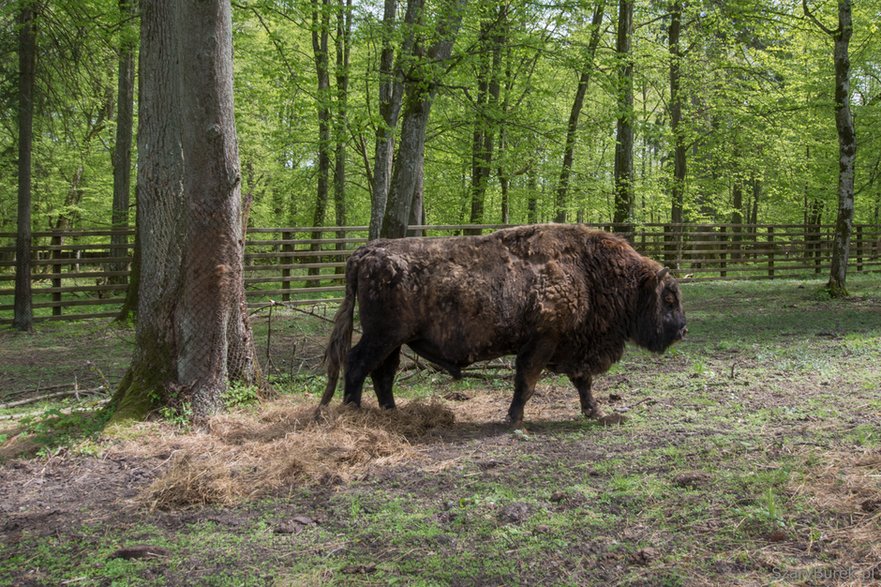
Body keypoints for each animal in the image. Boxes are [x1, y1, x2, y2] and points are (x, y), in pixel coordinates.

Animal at [320, 225, 684, 428]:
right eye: (668, 298)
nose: (682, 330)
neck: (588, 271)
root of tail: (367, 252)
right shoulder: (543, 341)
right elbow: (527, 380)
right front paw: (513, 419)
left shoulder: (571, 346)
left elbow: (582, 381)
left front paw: (594, 412)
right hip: (382, 336)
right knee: (357, 364)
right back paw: (353, 412)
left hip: (394, 340)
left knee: (383, 373)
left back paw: (392, 414)